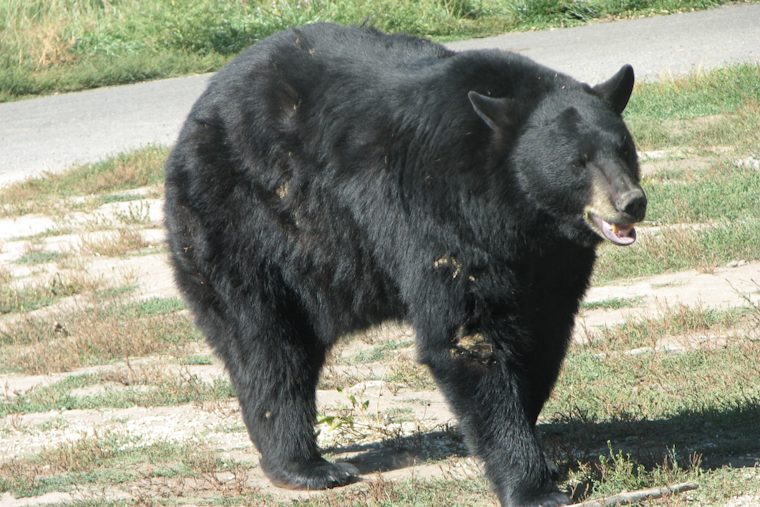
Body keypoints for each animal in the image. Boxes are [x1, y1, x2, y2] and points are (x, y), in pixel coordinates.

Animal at [164, 22, 646, 507]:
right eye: (578, 162)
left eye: (624, 148)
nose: (631, 202)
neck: (517, 211)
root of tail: (198, 112)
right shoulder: (441, 215)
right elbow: (468, 337)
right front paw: (531, 485)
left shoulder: (552, 260)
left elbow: (545, 333)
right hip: (241, 223)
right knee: (267, 344)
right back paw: (305, 466)